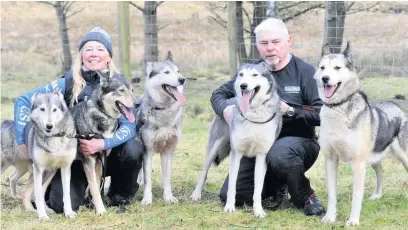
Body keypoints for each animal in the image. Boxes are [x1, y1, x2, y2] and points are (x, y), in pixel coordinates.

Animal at [0, 92, 77, 221]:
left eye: (54, 109)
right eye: (42, 109)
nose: (49, 126)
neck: (53, 138)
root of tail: (4, 122)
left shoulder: (63, 168)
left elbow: (66, 194)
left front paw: (69, 213)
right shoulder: (39, 169)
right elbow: (38, 194)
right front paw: (42, 215)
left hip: (27, 169)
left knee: (13, 178)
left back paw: (18, 198)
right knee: (25, 188)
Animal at [70, 71, 134, 215]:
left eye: (132, 90)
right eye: (121, 90)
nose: (136, 104)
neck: (102, 114)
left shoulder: (99, 161)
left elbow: (98, 186)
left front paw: (95, 205)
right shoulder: (88, 161)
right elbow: (94, 187)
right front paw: (100, 210)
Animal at [134, 51, 185, 205]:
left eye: (178, 71)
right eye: (166, 72)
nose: (182, 79)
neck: (163, 109)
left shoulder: (168, 151)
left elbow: (166, 179)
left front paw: (168, 197)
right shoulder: (148, 151)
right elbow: (148, 180)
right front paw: (147, 199)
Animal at [190, 63, 280, 217]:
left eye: (255, 75)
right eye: (241, 75)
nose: (243, 86)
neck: (253, 114)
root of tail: (229, 101)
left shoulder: (261, 156)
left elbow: (258, 189)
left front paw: (258, 210)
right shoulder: (236, 154)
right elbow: (232, 185)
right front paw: (229, 207)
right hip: (213, 149)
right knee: (203, 172)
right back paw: (196, 195)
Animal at [316, 41, 408, 225]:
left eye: (337, 68)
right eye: (322, 68)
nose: (325, 79)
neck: (338, 108)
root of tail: (397, 107)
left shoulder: (358, 163)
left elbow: (356, 196)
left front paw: (353, 221)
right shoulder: (330, 159)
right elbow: (331, 194)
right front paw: (330, 217)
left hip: (402, 156)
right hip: (372, 158)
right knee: (381, 171)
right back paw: (377, 195)